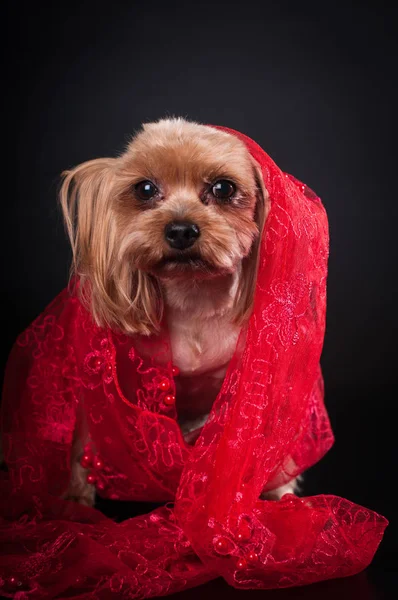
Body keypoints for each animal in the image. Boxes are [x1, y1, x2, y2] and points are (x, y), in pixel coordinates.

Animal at [58, 117, 298, 506]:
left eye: (223, 188)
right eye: (144, 188)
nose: (181, 230)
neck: (194, 294)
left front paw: (276, 488)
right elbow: (90, 435)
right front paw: (76, 499)